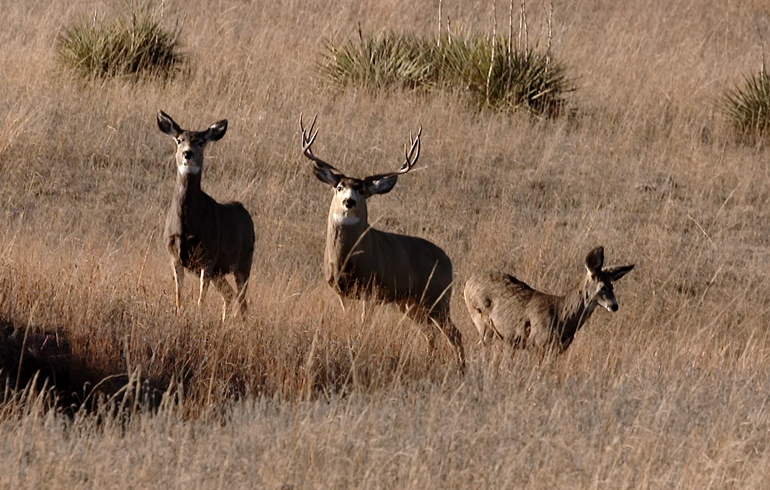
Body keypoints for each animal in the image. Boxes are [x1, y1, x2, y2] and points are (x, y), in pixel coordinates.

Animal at [157, 109, 255, 320]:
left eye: (201, 142)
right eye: (179, 140)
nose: (188, 153)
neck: (186, 227)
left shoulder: (208, 256)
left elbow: (201, 300)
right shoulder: (174, 256)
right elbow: (179, 298)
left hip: (244, 260)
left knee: (242, 301)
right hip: (220, 271)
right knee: (229, 295)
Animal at [302, 113, 464, 370]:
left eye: (362, 191)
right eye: (339, 186)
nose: (349, 202)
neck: (346, 261)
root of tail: (449, 261)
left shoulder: (372, 289)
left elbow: (363, 325)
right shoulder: (341, 292)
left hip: (437, 296)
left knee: (454, 333)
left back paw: (461, 368)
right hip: (410, 303)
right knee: (430, 334)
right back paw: (431, 362)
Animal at [462, 247, 632, 354]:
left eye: (612, 286)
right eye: (602, 287)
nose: (614, 305)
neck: (562, 316)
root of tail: (467, 283)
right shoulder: (538, 343)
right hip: (481, 321)